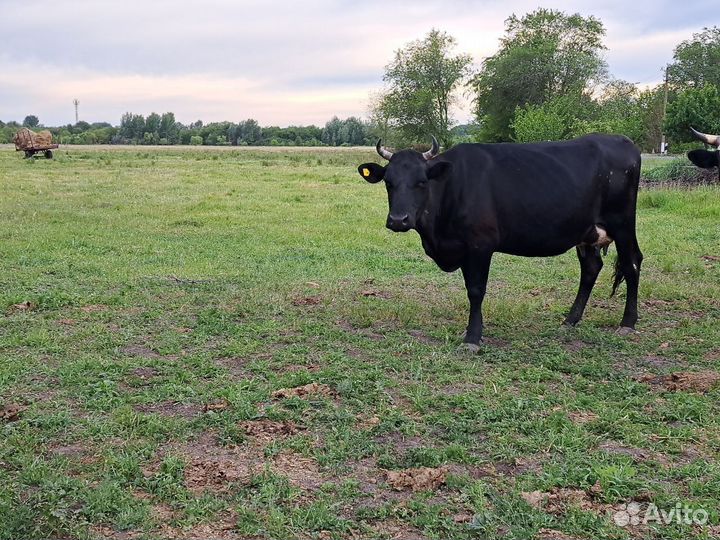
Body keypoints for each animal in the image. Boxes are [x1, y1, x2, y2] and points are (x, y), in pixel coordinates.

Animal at [358, 135, 643, 351]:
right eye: (388, 182)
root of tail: (623, 141)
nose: (398, 220)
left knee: (632, 263)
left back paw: (627, 323)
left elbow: (476, 290)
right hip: (587, 232)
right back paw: (570, 320)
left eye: (421, 182)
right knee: (591, 268)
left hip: (622, 223)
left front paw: (472, 337)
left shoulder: (480, 245)